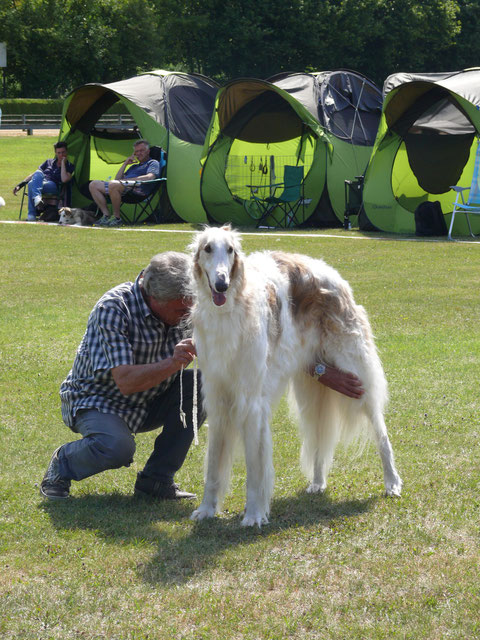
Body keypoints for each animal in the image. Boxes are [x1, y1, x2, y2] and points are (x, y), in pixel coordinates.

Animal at [188, 225, 402, 524]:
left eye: (230, 250)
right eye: (207, 248)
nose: (221, 284)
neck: (232, 308)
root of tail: (335, 276)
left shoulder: (251, 403)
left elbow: (255, 470)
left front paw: (254, 514)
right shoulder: (219, 398)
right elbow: (213, 468)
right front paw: (206, 509)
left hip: (358, 377)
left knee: (381, 433)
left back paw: (392, 482)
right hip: (310, 389)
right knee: (319, 437)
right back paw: (318, 482)